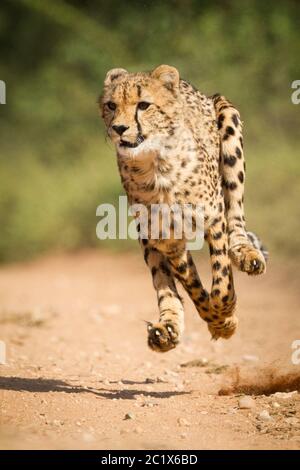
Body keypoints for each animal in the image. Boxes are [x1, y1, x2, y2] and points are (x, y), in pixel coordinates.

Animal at [99, 65, 268, 352]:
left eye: (143, 105)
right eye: (111, 105)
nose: (119, 128)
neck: (155, 164)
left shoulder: (213, 216)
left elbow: (221, 277)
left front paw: (224, 313)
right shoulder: (166, 238)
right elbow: (192, 286)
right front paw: (219, 320)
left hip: (228, 119)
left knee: (236, 216)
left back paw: (246, 253)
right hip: (147, 236)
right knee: (163, 280)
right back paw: (166, 329)